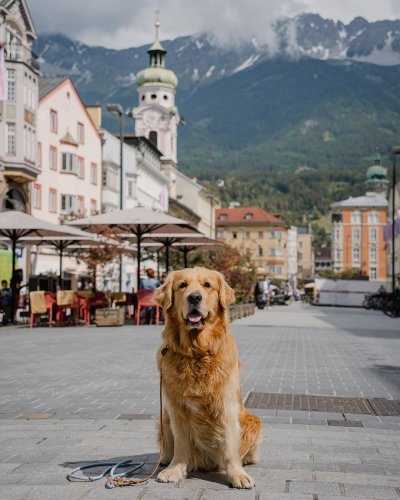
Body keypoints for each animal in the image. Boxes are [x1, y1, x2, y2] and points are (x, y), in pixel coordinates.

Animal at [154, 268, 262, 490]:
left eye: (207, 285)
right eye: (183, 285)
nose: (194, 298)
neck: (196, 353)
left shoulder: (226, 406)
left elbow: (229, 445)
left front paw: (237, 474)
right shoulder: (176, 408)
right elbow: (181, 444)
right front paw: (176, 470)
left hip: (252, 420)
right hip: (164, 417)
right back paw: (165, 459)